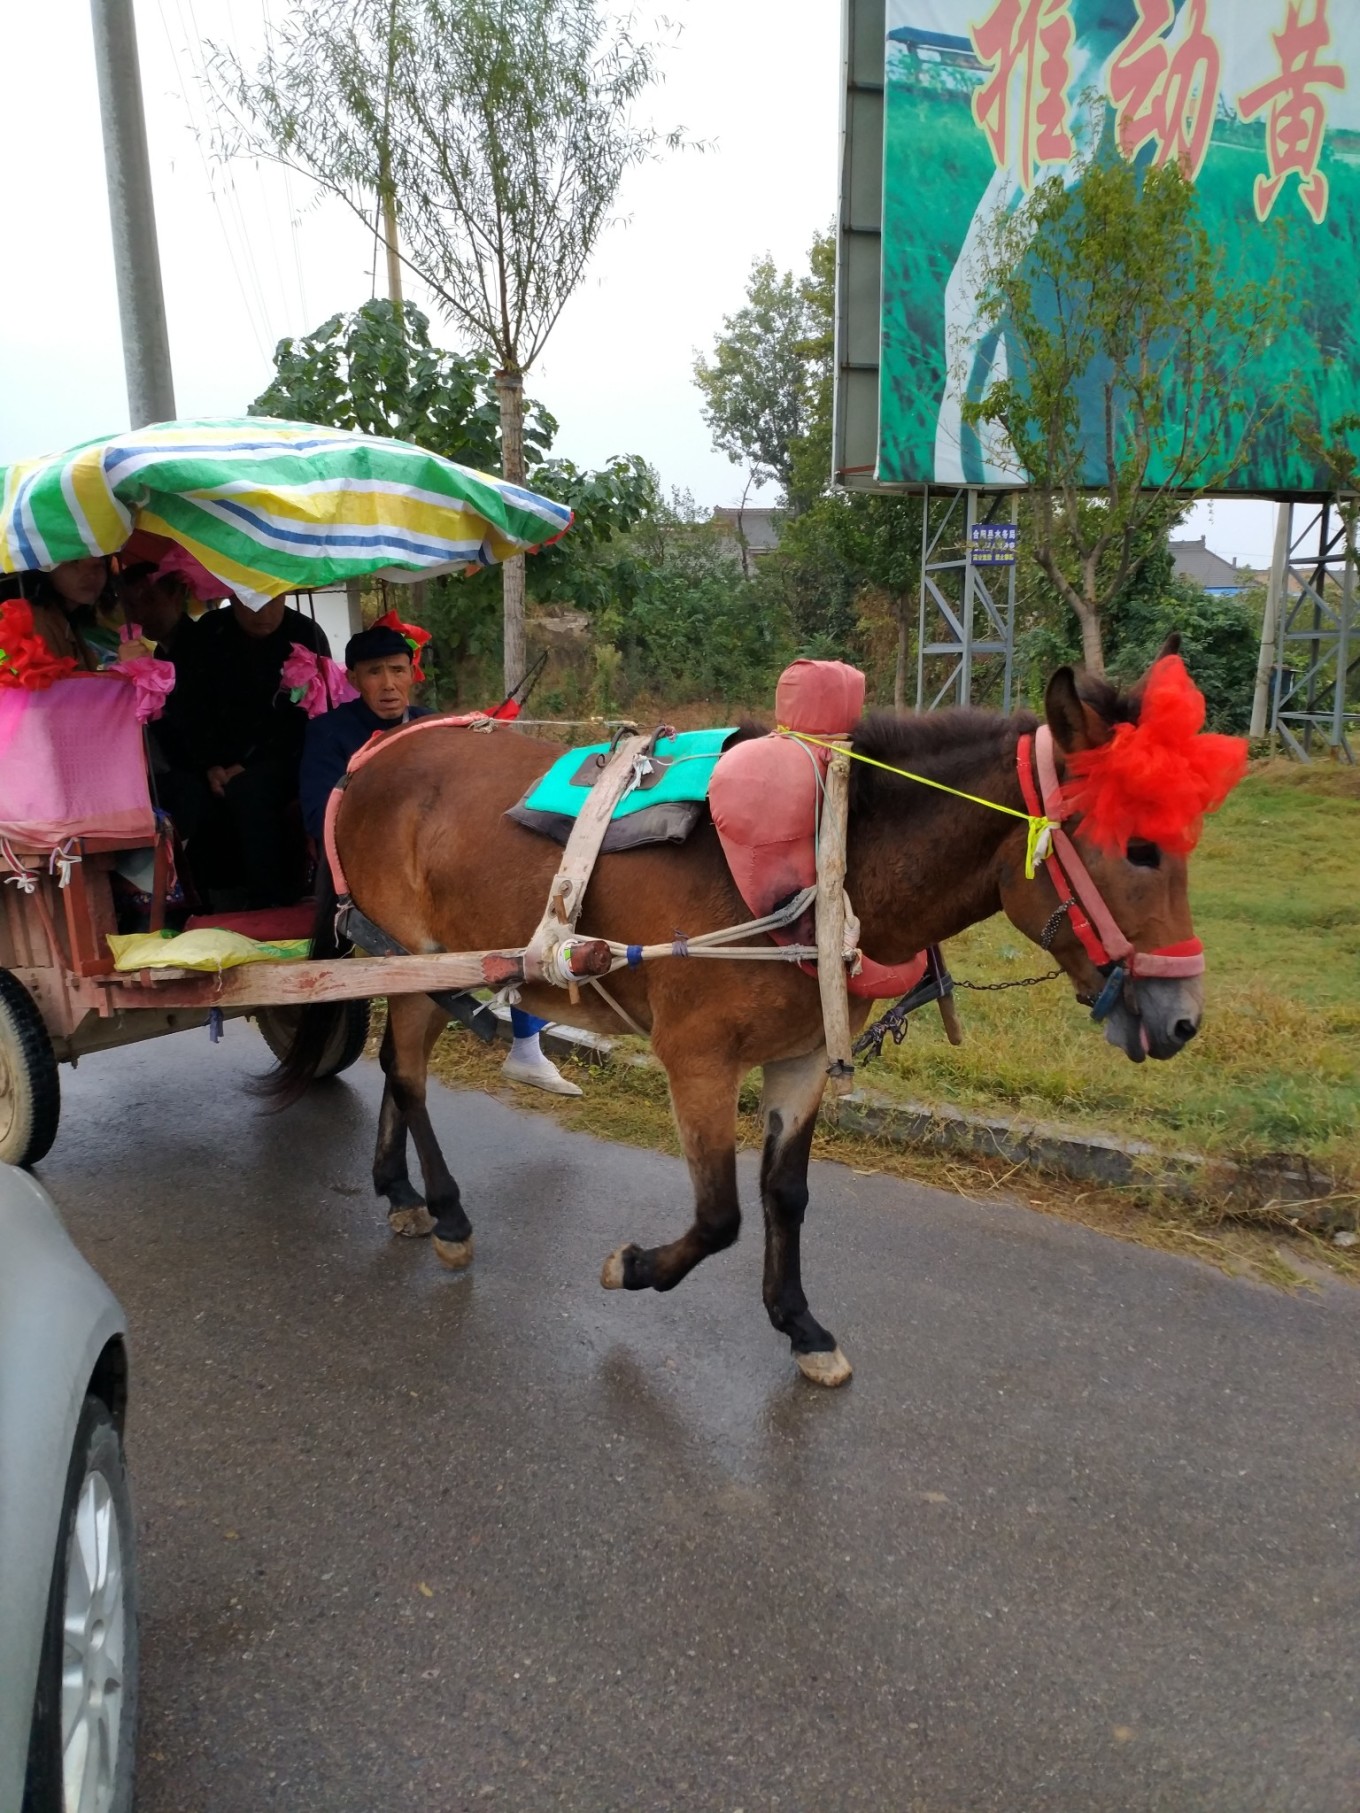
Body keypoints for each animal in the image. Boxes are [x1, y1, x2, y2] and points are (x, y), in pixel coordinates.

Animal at [272, 652, 1211, 1385]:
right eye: (1138, 848)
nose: (1183, 1021)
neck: (828, 863)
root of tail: (375, 756)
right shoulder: (697, 1059)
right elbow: (721, 1214)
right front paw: (637, 1267)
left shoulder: (800, 1060)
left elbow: (784, 1195)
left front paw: (800, 1324)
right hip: (416, 956)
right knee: (407, 1073)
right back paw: (447, 1207)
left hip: (413, 963)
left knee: (397, 1070)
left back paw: (400, 1189)